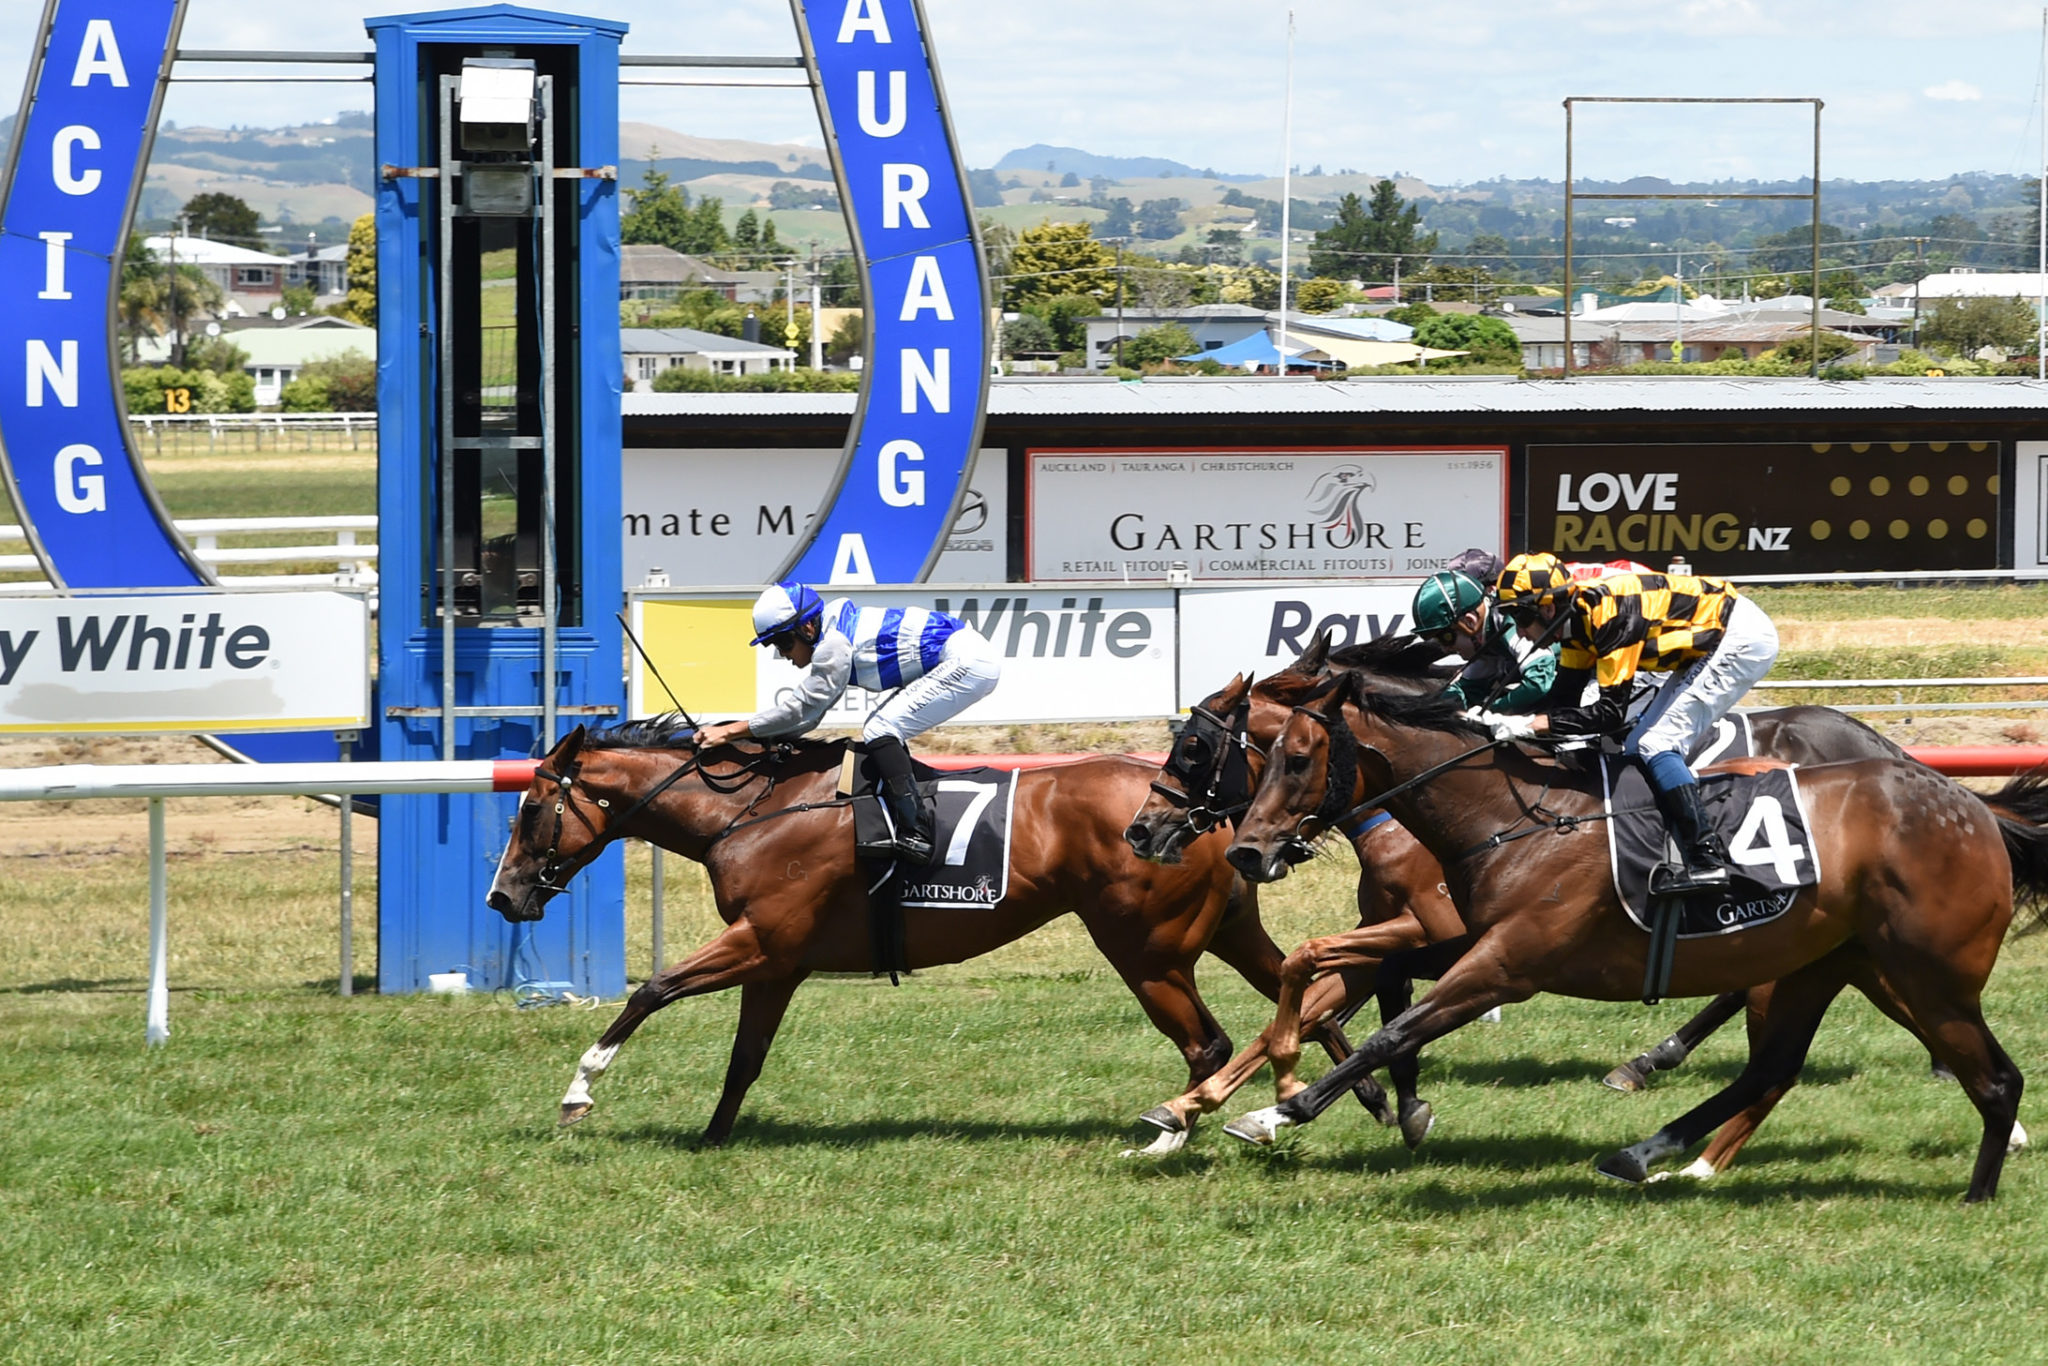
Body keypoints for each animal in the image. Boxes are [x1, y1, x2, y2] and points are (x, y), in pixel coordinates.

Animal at [479, 720, 1294, 1146]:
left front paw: (579, 1092)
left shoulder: (761, 941)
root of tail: (1200, 810)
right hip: (1226, 933)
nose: (500, 896)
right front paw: (714, 1137)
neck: (754, 810)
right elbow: (744, 1059)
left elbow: (651, 990)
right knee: (1297, 1000)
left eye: (530, 811)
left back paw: (1170, 1133)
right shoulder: (778, 964)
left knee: (1207, 1043)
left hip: (1145, 951)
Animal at [1212, 679, 2048, 1204]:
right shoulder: (1462, 942)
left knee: (1995, 1077)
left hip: (1926, 972)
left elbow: (1392, 1030)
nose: (1245, 852)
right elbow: (1326, 968)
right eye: (1264, 754)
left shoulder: (1504, 964)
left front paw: (1282, 1109)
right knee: (1774, 1068)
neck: (1513, 817)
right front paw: (1299, 1089)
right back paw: (1653, 1153)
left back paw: (1978, 1190)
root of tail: (1971, 805)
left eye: (1295, 759)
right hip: (1838, 961)